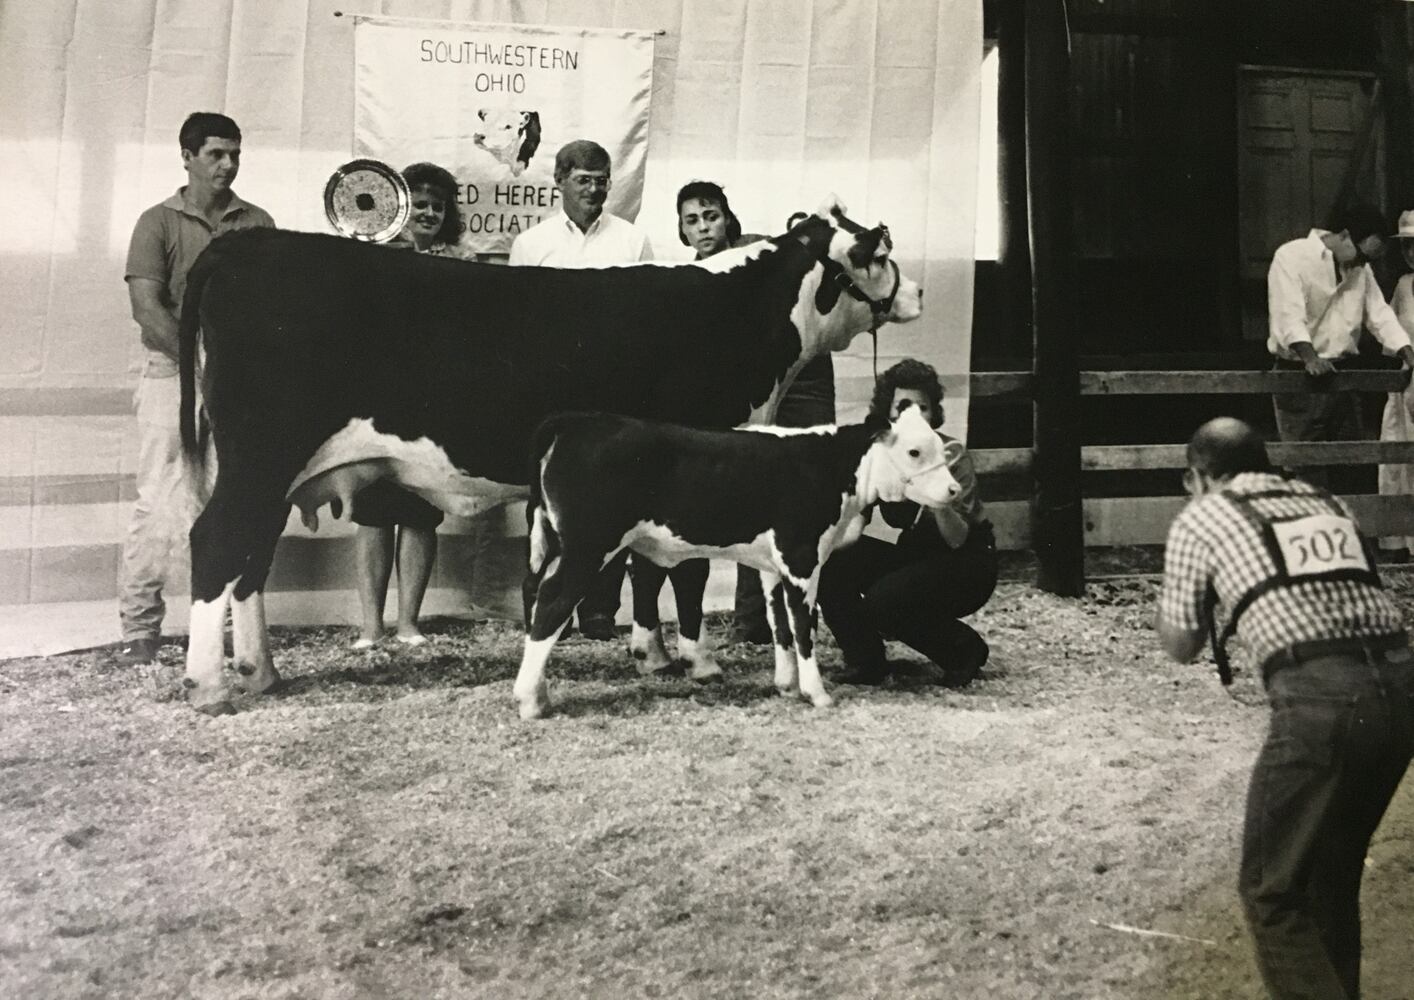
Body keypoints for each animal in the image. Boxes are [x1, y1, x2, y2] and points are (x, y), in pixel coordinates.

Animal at [514, 407, 955, 718]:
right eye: (914, 451)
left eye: (939, 446)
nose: (954, 489)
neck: (831, 466)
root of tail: (575, 420)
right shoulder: (801, 558)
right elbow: (804, 627)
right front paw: (817, 694)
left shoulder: (773, 567)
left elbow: (780, 626)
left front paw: (787, 686)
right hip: (588, 547)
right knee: (552, 603)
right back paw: (530, 701)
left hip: (557, 545)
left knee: (535, 595)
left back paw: (538, 694)